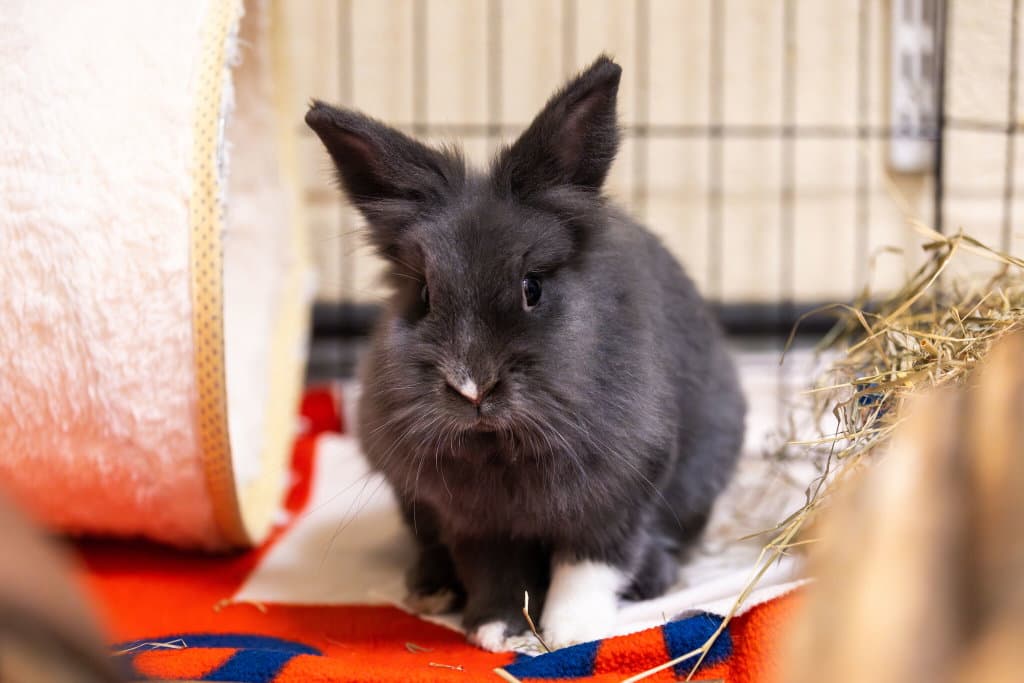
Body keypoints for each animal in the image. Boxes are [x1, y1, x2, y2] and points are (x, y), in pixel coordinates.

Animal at [305, 54, 746, 652]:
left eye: (531, 288)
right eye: (424, 294)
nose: (472, 386)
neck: (498, 446)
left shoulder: (614, 496)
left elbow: (589, 565)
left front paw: (568, 632)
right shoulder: (471, 518)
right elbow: (494, 570)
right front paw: (494, 629)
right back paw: (430, 592)